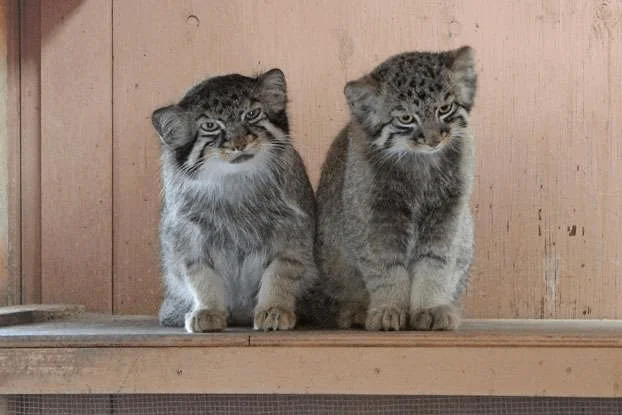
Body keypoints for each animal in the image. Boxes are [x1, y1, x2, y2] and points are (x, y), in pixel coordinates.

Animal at [151, 69, 316, 334]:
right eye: (210, 126)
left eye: (252, 114)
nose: (239, 143)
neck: (235, 183)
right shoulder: (187, 236)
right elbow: (202, 278)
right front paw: (208, 310)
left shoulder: (293, 230)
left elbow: (280, 273)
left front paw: (274, 308)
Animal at [316, 46, 478, 332]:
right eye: (406, 118)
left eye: (444, 108)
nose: (434, 139)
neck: (420, 168)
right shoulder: (376, 219)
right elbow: (386, 269)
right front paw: (388, 308)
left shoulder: (448, 216)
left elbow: (436, 264)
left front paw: (430, 307)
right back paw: (357, 310)